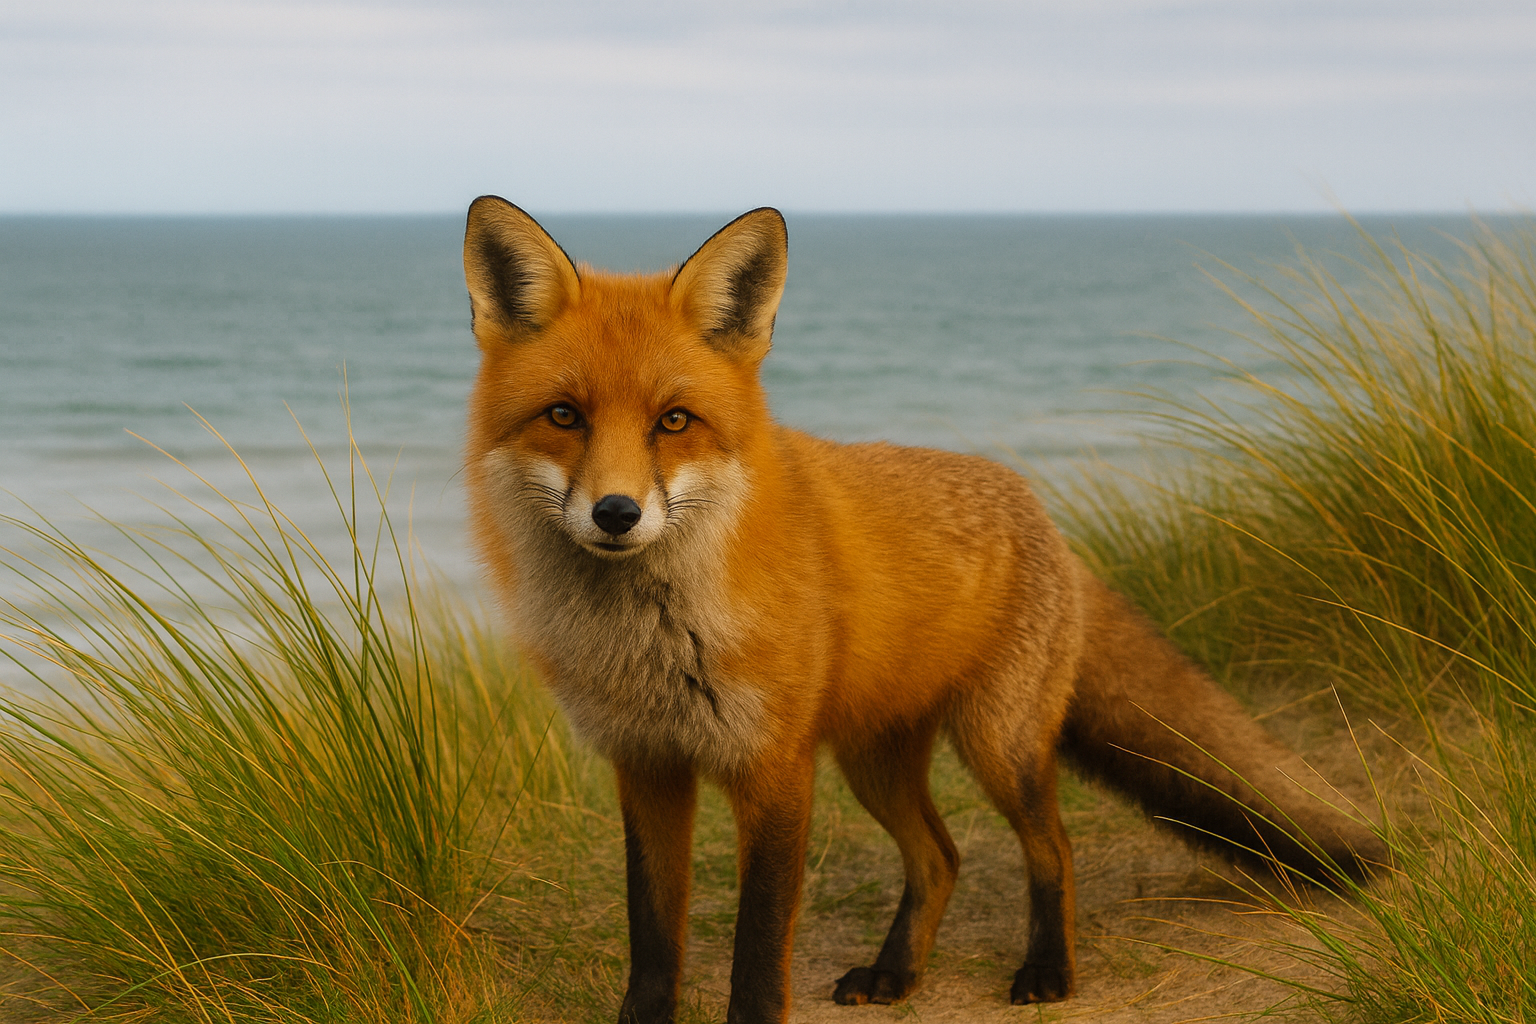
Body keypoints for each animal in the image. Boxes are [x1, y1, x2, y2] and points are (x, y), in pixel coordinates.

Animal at [459, 197, 1384, 1024]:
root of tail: (1040, 511)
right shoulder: (647, 765)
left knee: (1052, 848)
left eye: (674, 421)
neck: (649, 640)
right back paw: (897, 974)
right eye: (565, 416)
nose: (616, 513)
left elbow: (757, 955)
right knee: (940, 858)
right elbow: (652, 940)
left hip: (997, 746)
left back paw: (1048, 971)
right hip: (874, 760)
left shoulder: (774, 771)